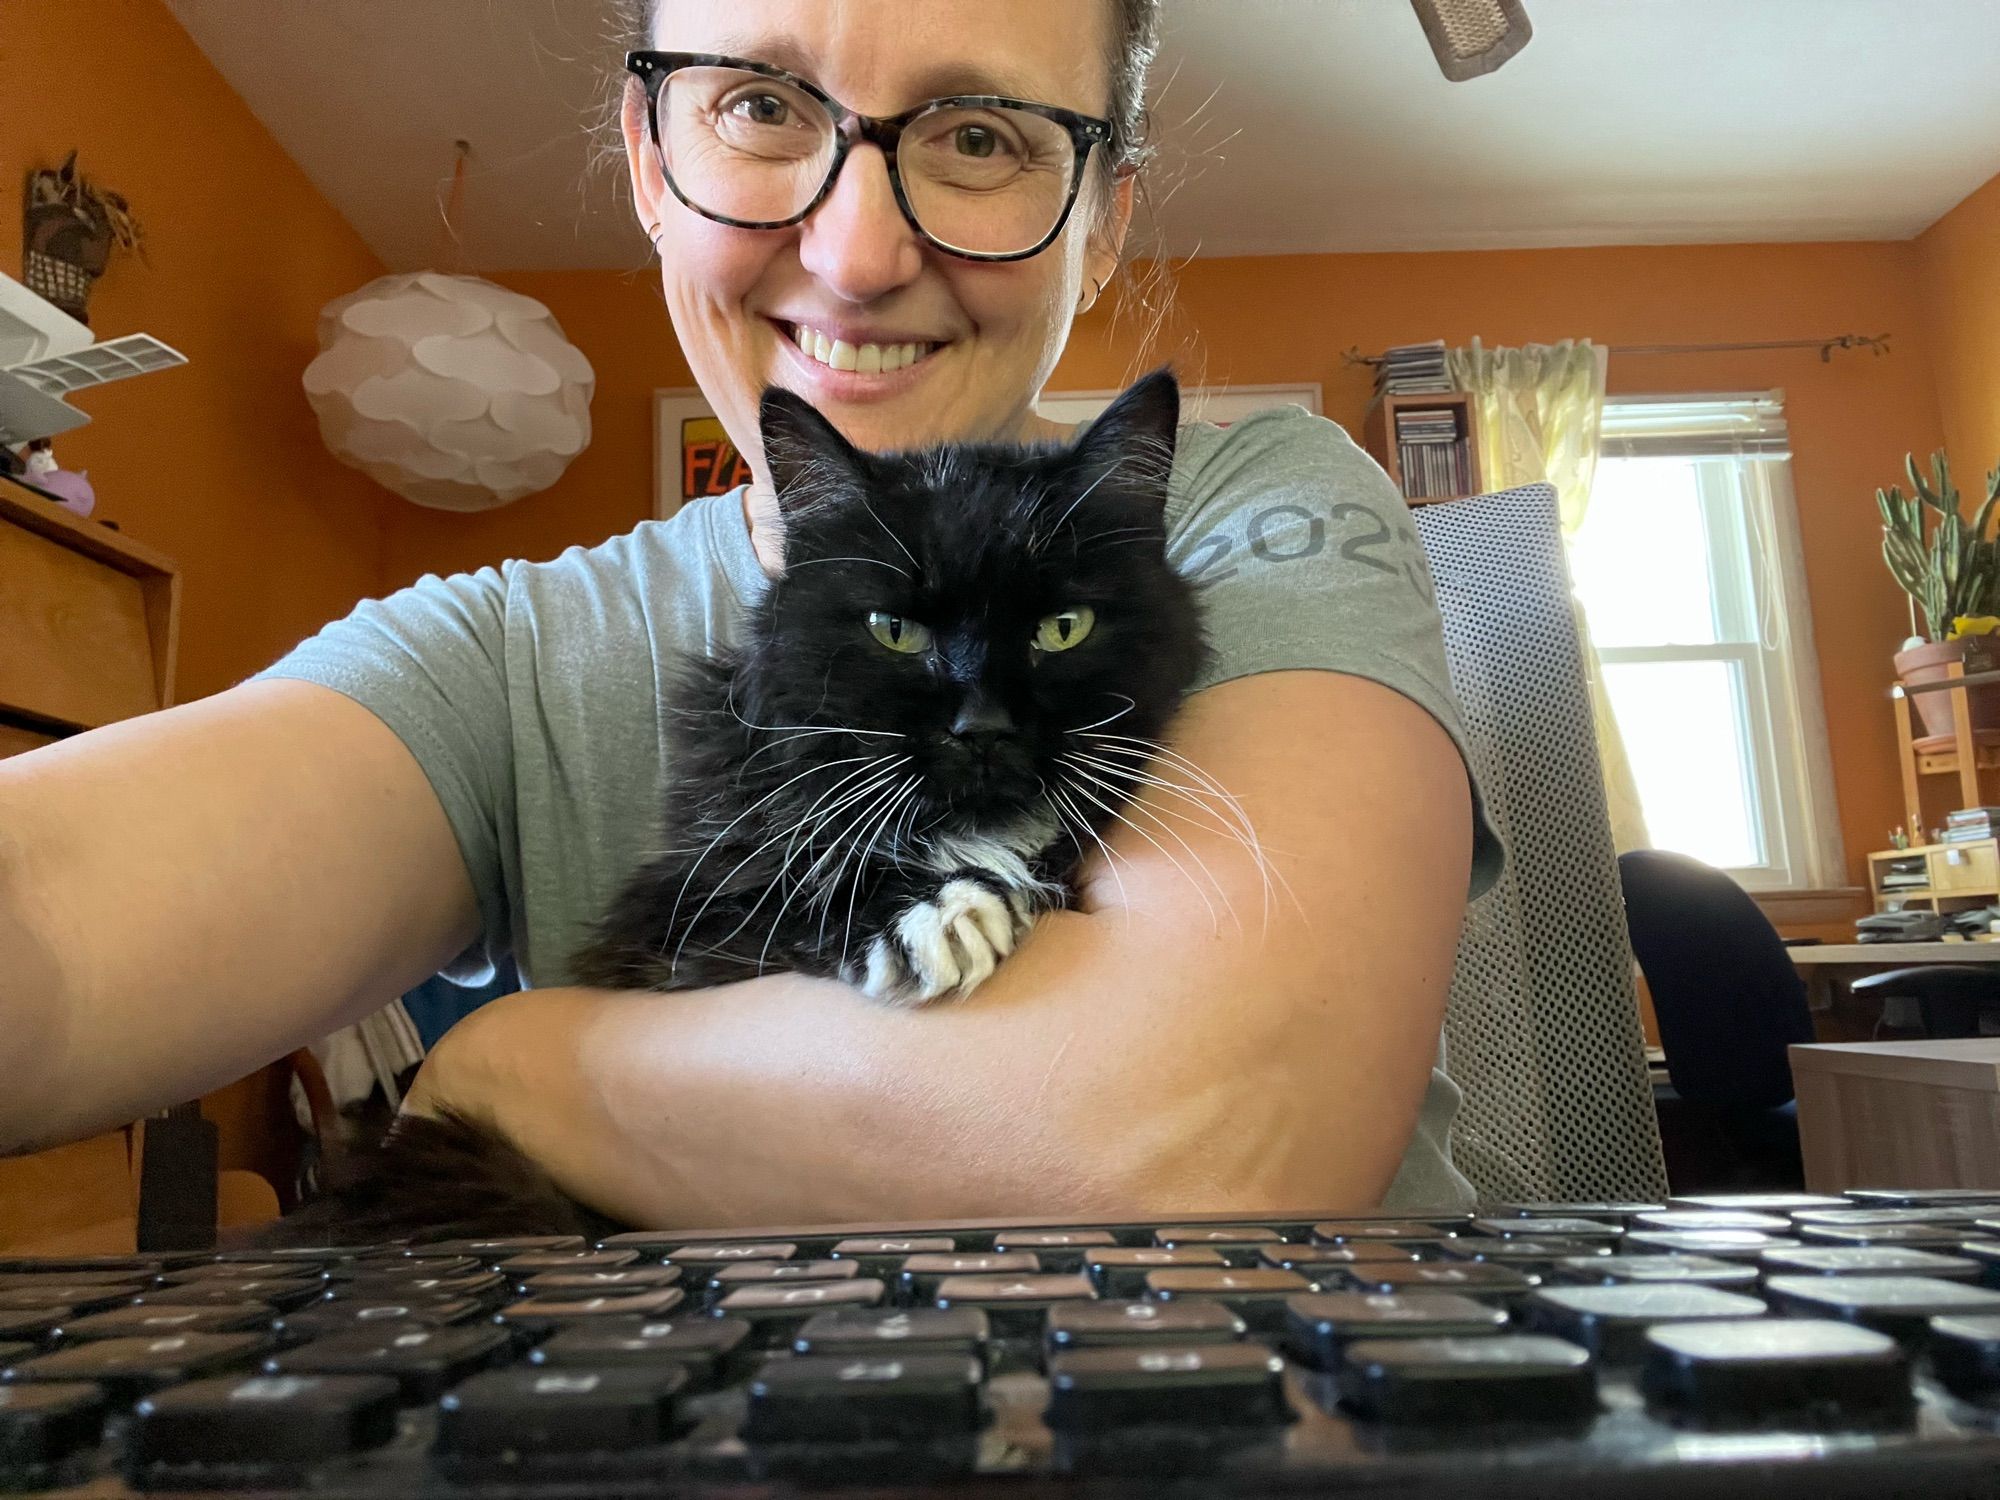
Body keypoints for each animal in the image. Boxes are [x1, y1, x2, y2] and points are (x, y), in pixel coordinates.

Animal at [264, 368, 1200, 1248]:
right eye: (894, 630)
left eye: (1063, 628)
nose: (983, 727)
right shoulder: (676, 920)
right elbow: (793, 892)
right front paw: (935, 915)